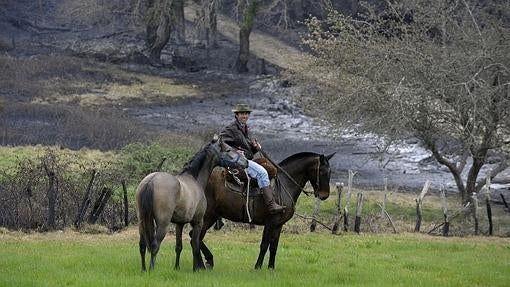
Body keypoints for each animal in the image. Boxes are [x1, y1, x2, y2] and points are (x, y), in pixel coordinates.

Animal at [135, 137, 247, 272]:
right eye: (228, 149)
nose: (246, 162)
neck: (194, 180)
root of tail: (151, 180)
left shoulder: (179, 224)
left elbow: (178, 247)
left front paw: (177, 268)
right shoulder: (198, 222)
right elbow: (195, 245)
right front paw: (196, 269)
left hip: (142, 221)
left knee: (142, 245)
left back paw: (143, 270)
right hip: (162, 224)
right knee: (155, 245)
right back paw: (151, 270)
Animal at [199, 153, 334, 270]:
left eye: (330, 172)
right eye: (322, 171)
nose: (325, 195)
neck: (285, 184)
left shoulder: (278, 225)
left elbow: (273, 247)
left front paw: (271, 268)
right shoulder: (270, 223)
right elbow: (264, 245)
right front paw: (258, 266)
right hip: (208, 216)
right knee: (197, 237)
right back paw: (207, 261)